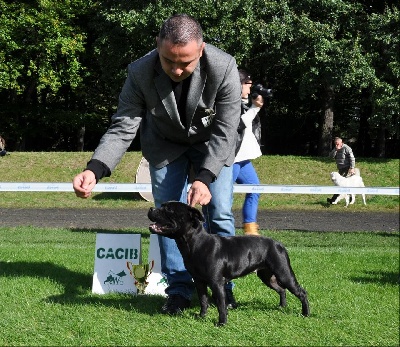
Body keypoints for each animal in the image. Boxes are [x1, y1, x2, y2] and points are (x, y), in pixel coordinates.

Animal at [148, 201, 310, 326]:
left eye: (169, 209)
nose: (151, 209)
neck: (195, 243)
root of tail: (278, 244)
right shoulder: (199, 282)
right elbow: (203, 300)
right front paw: (202, 316)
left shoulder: (216, 283)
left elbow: (221, 305)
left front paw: (221, 323)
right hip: (267, 277)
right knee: (281, 290)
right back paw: (282, 307)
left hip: (284, 273)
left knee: (301, 292)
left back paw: (305, 313)